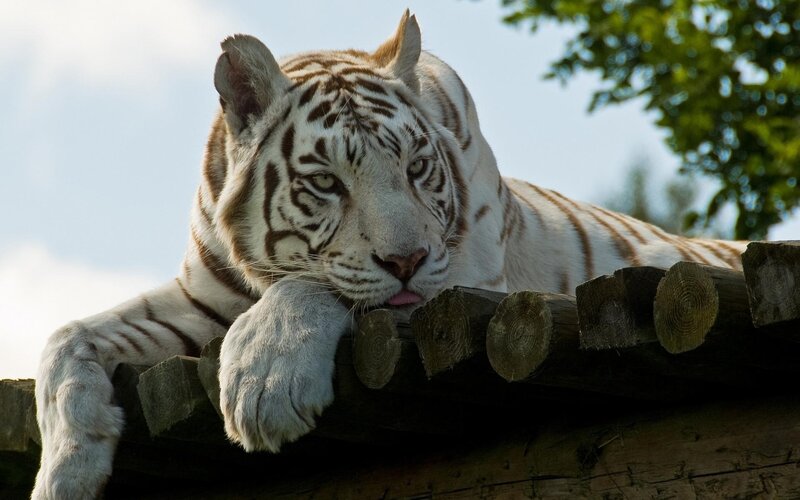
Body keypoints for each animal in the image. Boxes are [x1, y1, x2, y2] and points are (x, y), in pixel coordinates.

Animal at [32, 11, 747, 499]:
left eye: (416, 167)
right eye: (327, 183)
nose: (406, 261)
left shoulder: (464, 278)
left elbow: (319, 285)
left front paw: (264, 384)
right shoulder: (199, 299)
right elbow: (66, 338)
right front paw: (64, 471)